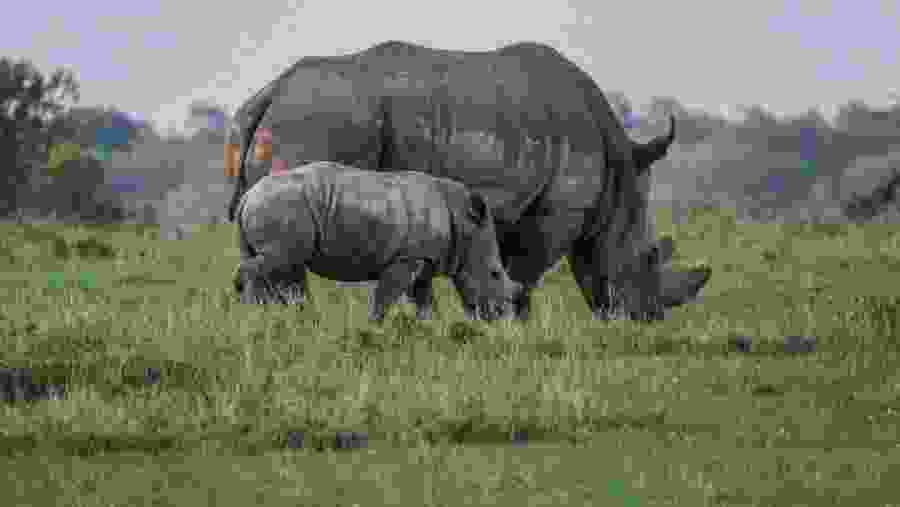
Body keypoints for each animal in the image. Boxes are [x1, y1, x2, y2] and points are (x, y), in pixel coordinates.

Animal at [233, 160, 523, 322]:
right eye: (495, 273)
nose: (502, 319)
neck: (464, 224)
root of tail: (247, 195)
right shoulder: (407, 258)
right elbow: (385, 297)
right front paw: (374, 327)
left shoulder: (423, 260)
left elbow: (425, 303)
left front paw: (432, 330)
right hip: (281, 205)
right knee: (279, 261)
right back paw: (252, 315)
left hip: (277, 205)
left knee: (287, 267)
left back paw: (290, 318)